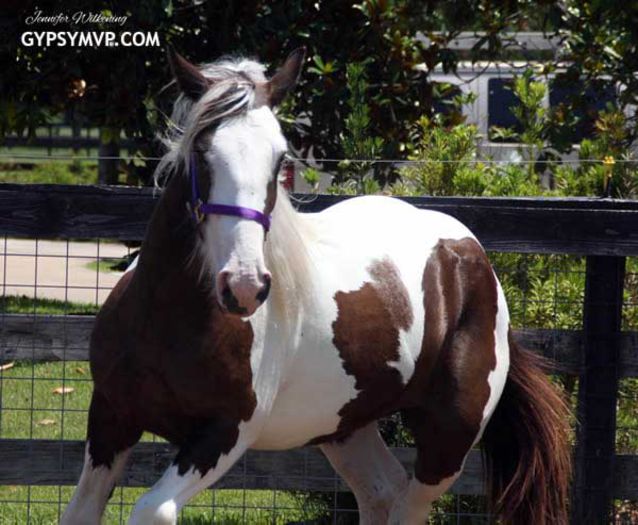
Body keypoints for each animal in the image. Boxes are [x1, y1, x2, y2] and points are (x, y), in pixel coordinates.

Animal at [63, 47, 576, 520]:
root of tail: (471, 256)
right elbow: (80, 510)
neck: (170, 320)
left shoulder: (224, 432)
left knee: (409, 504)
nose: (244, 286)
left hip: (449, 438)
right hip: (347, 427)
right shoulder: (110, 418)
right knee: (381, 492)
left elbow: (153, 509)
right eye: (201, 152)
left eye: (279, 160)